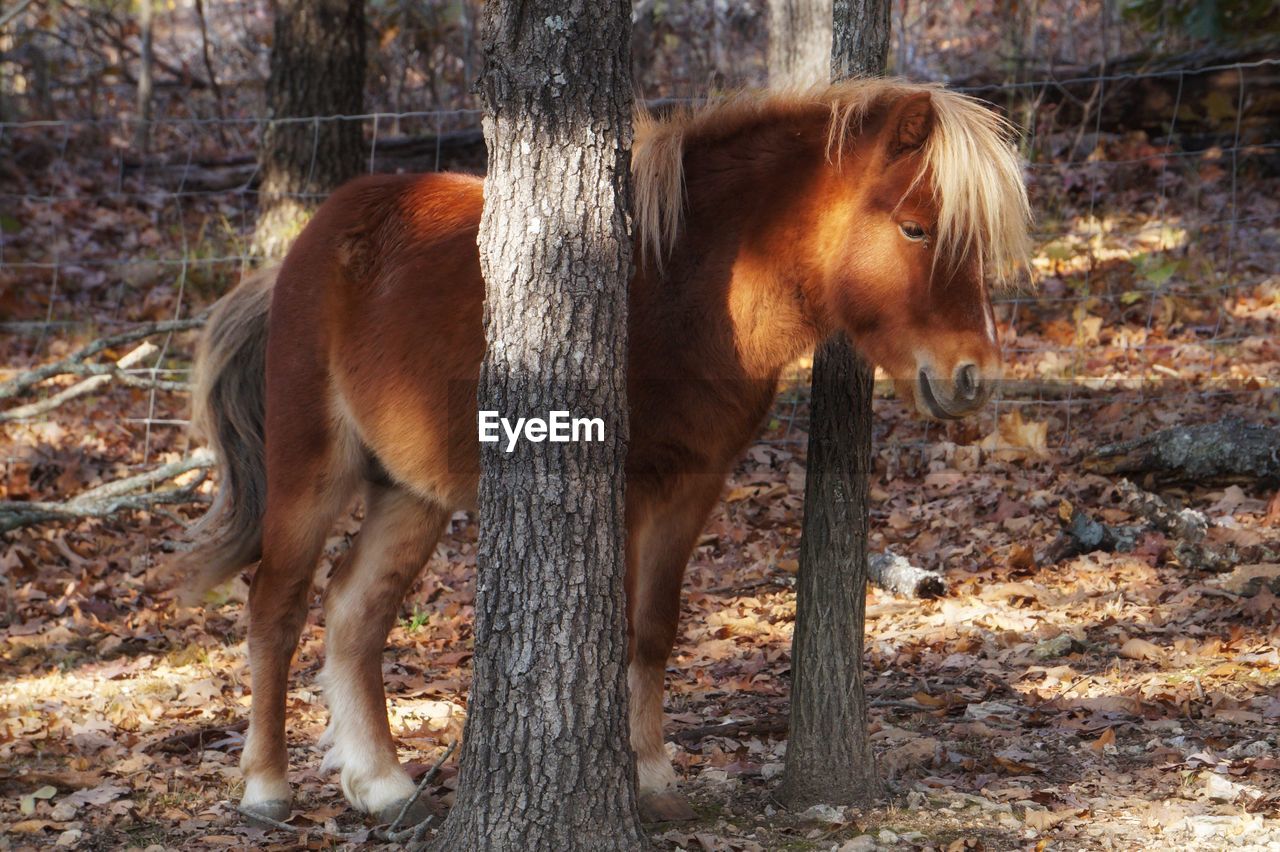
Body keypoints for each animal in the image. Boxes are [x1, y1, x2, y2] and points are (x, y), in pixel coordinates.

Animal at [183, 79, 1029, 823]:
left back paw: (383, 786)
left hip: (409, 493)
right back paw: (266, 789)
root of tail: (309, 245)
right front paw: (632, 770)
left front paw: (651, 778)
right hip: (312, 472)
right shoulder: (622, 489)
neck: (687, 285)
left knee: (355, 611)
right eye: (914, 227)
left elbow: (653, 630)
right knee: (277, 608)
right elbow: (616, 632)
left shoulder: (693, 486)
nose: (973, 376)